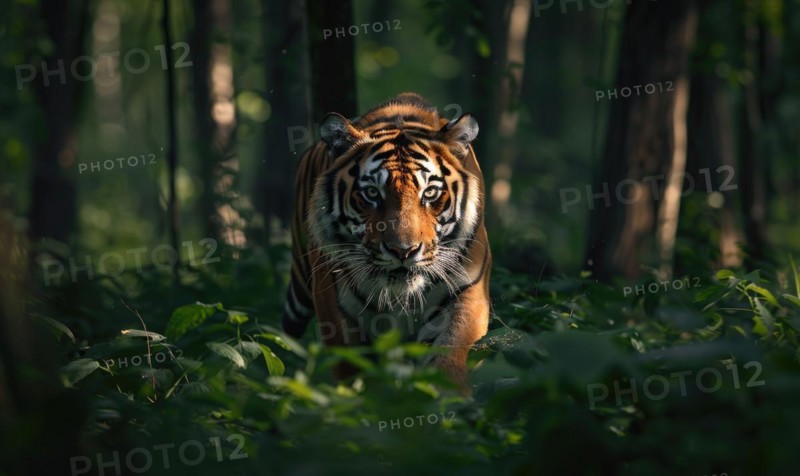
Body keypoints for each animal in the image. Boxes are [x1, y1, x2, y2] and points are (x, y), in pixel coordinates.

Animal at [281, 92, 491, 390]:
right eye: (371, 193)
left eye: (430, 193)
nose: (403, 251)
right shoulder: (335, 311)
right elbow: (357, 375)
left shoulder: (467, 292)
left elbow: (448, 357)